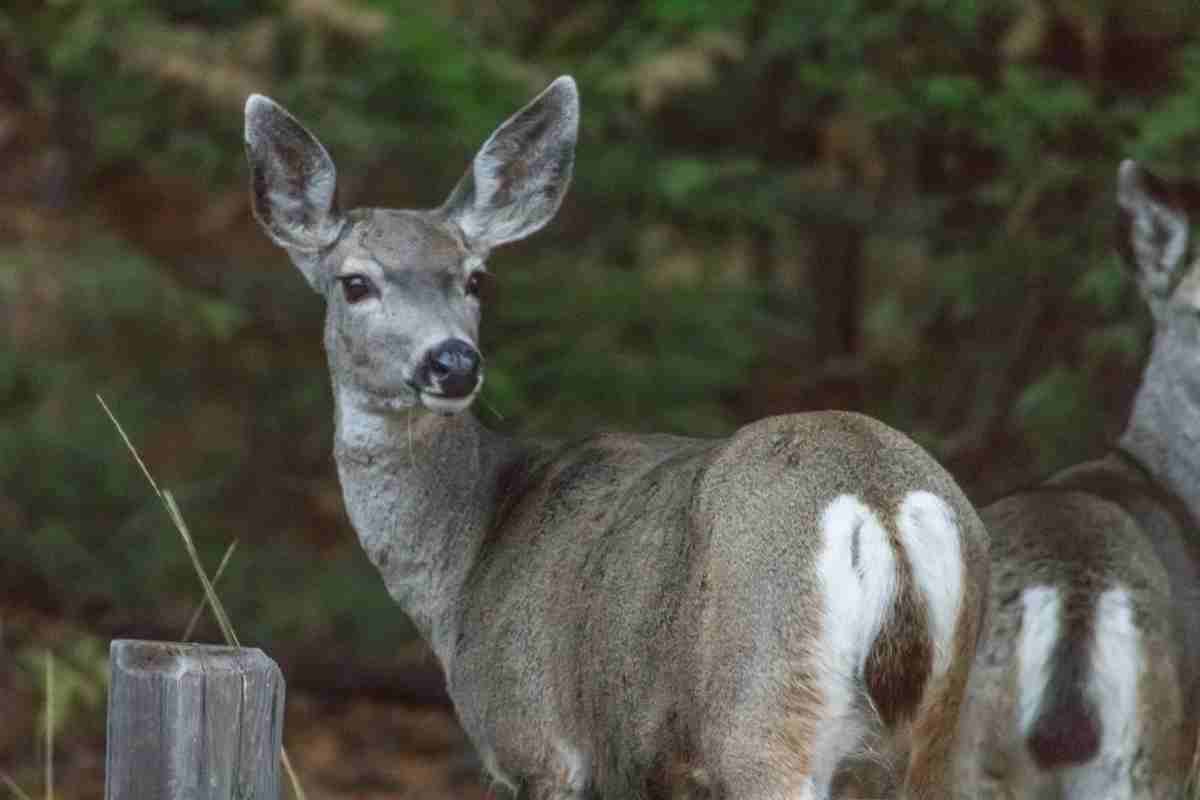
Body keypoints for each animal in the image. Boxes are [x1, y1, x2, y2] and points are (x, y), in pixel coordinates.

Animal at [241, 76, 984, 800]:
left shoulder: (539, 745)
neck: (468, 554)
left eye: (476, 278)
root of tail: (881, 502)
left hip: (764, 711)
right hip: (939, 730)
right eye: (355, 283)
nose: (451, 362)